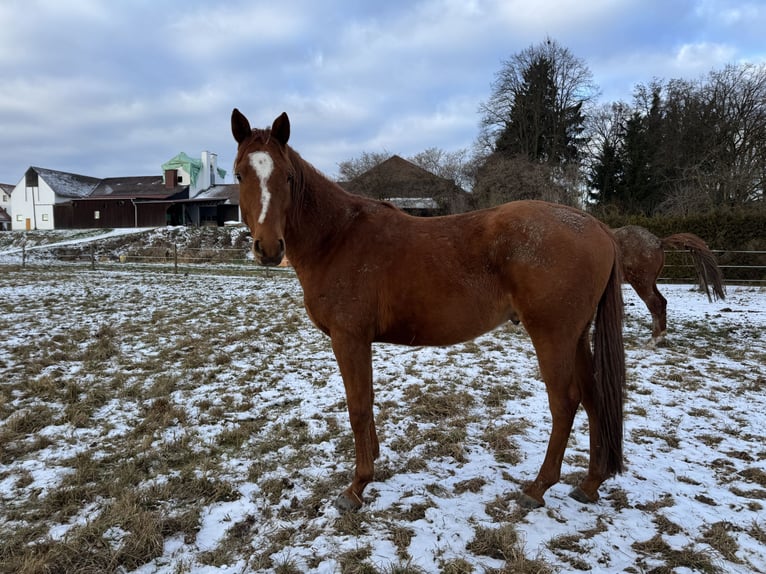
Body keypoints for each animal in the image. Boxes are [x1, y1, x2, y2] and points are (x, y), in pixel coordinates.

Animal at [231, 109, 626, 510]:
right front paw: (373, 462)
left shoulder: (348, 339)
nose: (268, 248)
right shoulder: (361, 342)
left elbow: (357, 407)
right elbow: (367, 400)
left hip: (553, 336)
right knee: (594, 399)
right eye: (240, 174)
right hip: (577, 337)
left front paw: (357, 486)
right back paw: (590, 483)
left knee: (565, 403)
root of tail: (597, 227)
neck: (337, 237)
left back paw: (537, 488)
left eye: (287, 176)